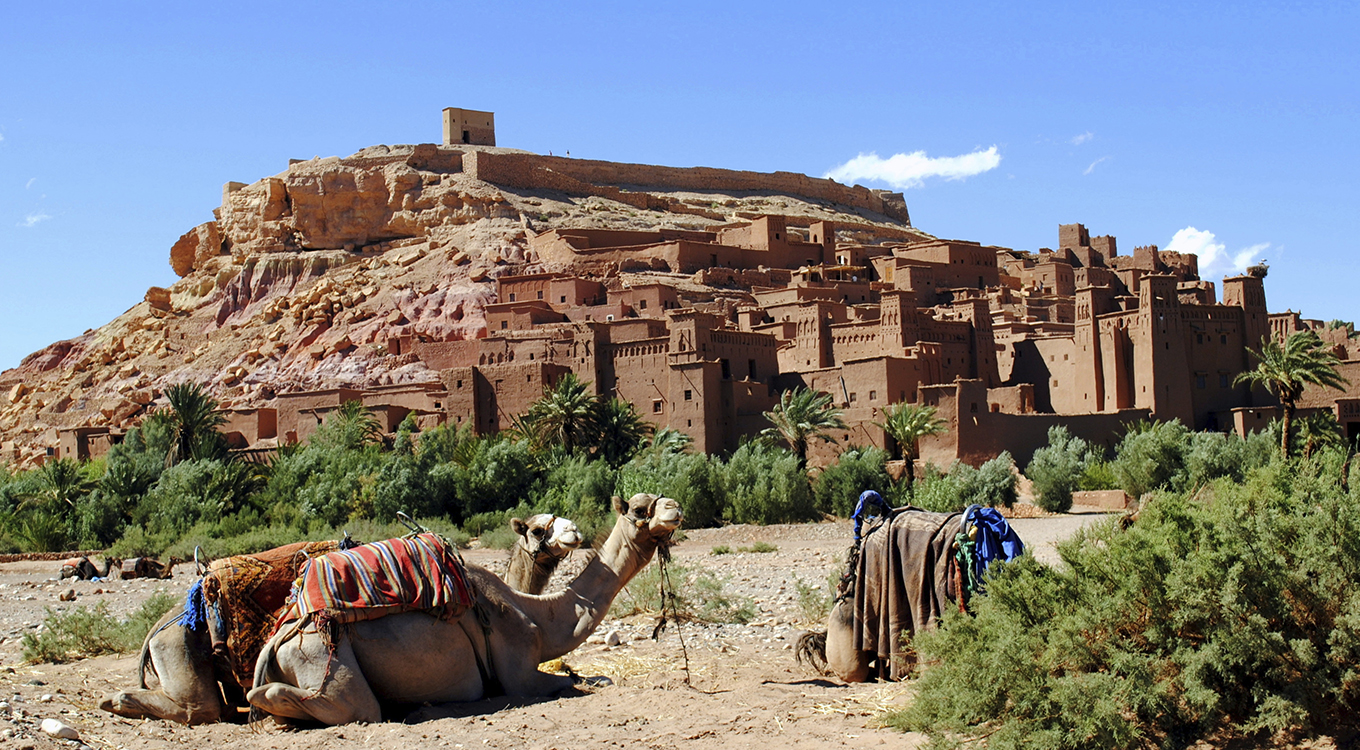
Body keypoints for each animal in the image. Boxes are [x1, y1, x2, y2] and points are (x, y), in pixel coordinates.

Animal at [247, 492, 680, 729]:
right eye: (639, 509)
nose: (674, 507)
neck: (538, 617)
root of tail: (279, 639)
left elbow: (591, 676)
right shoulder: (519, 673)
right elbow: (576, 682)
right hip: (322, 657)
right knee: (343, 704)